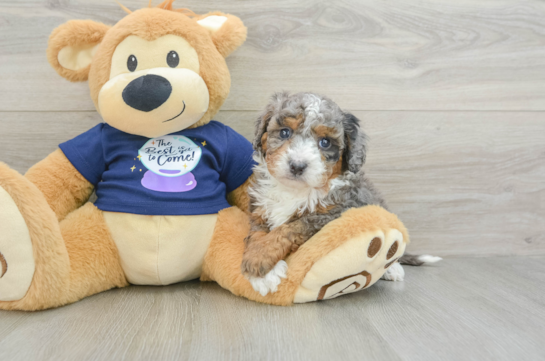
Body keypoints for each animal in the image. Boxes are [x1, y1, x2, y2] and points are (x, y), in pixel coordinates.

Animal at [240, 90, 440, 296]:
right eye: (284, 132)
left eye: (325, 142)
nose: (297, 166)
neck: (294, 189)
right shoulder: (260, 208)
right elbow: (257, 232)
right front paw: (262, 269)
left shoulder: (337, 212)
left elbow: (293, 226)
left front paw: (259, 258)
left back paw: (393, 269)